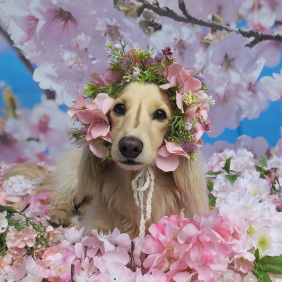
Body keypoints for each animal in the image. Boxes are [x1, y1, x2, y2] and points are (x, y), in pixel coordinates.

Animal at [3, 82, 208, 238]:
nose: (129, 146)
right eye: (119, 108)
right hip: (73, 176)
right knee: (63, 196)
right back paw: (60, 214)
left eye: (160, 114)